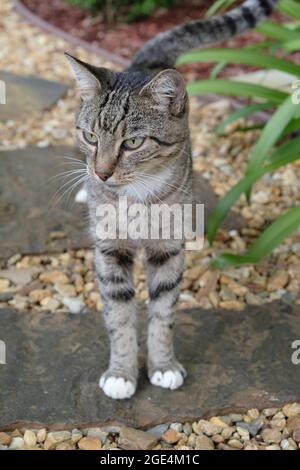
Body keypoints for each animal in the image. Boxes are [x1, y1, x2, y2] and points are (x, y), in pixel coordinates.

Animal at [66, 0, 278, 398]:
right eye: (90, 136)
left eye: (133, 142)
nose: (101, 173)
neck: (135, 198)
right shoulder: (110, 248)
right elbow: (119, 314)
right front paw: (121, 373)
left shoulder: (169, 247)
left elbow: (163, 311)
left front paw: (163, 366)